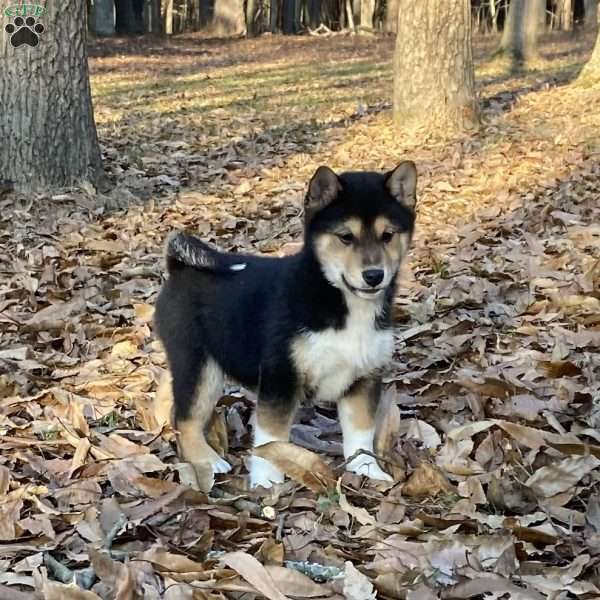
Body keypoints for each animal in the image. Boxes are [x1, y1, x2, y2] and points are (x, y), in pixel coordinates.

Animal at [155, 161, 418, 488]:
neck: (338, 300)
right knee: (186, 418)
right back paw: (208, 461)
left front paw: (367, 470)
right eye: (345, 236)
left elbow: (360, 433)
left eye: (388, 235)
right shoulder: (281, 377)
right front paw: (267, 481)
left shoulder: (363, 377)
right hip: (200, 366)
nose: (374, 275)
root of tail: (178, 268)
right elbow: (271, 437)